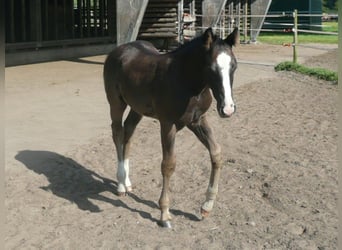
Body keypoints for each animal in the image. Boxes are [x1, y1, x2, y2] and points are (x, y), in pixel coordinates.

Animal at [103, 27, 239, 229]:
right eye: (211, 68)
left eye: (234, 66)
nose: (228, 109)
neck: (187, 82)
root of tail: (118, 50)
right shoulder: (167, 124)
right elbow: (168, 165)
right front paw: (164, 214)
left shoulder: (198, 120)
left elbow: (216, 153)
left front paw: (207, 205)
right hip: (116, 103)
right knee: (117, 133)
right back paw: (120, 184)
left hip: (137, 108)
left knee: (128, 131)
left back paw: (127, 182)